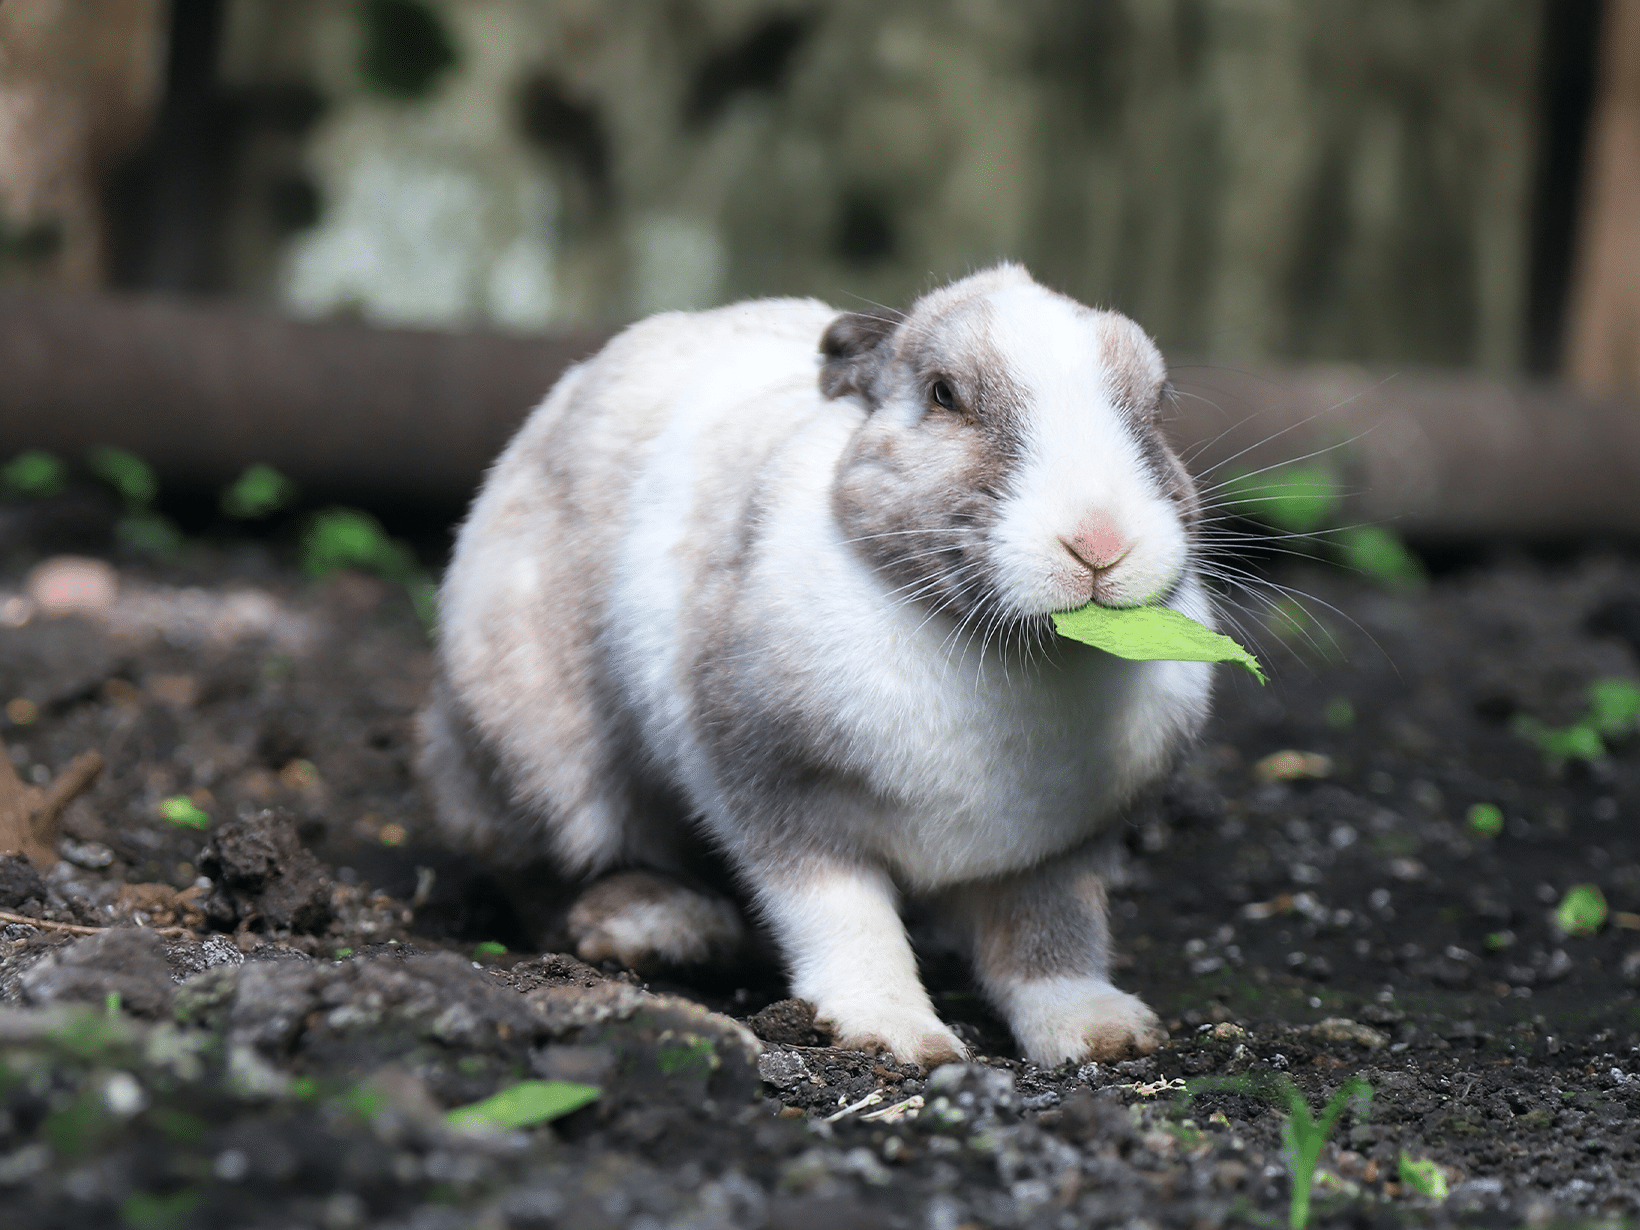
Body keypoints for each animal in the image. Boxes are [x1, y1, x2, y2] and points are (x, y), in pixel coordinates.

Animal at [419, 262, 1220, 1069]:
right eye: (944, 395)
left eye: (1156, 406)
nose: (1099, 541)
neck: (1001, 646)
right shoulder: (784, 804)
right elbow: (842, 919)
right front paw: (893, 1033)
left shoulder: (1053, 855)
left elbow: (1050, 939)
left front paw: (1102, 1031)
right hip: (538, 756)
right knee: (545, 870)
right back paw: (662, 926)